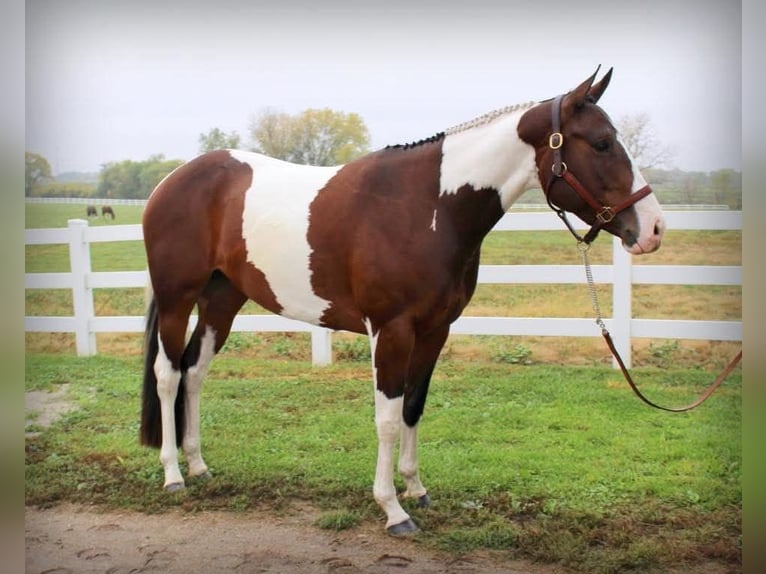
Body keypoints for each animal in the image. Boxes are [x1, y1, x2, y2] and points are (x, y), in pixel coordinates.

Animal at [140, 68, 665, 535]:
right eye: (601, 143)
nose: (654, 229)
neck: (429, 207)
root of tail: (170, 181)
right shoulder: (390, 330)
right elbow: (388, 418)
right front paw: (393, 510)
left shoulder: (435, 329)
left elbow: (414, 405)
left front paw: (416, 488)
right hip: (177, 299)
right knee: (168, 374)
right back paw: (173, 474)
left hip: (222, 300)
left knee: (195, 371)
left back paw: (199, 464)